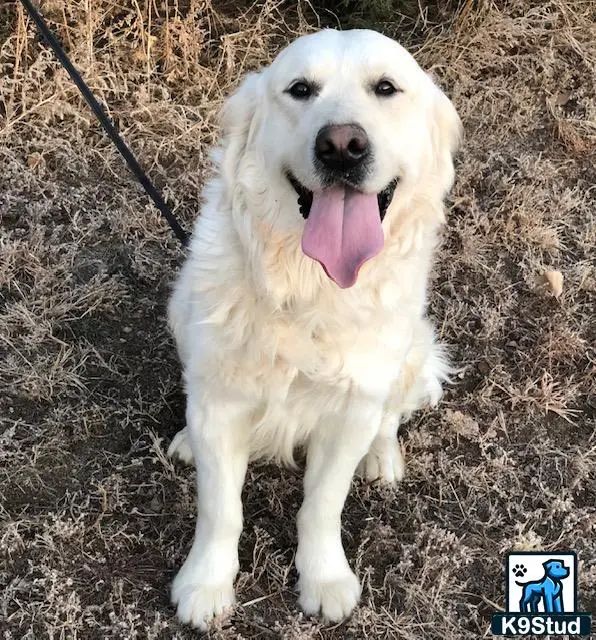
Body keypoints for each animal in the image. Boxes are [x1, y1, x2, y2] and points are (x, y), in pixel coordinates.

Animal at [166, 28, 460, 632]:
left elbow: (322, 505)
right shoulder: (221, 404)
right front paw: (205, 584)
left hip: (410, 351)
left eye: (386, 87)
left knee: (390, 416)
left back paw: (381, 457)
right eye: (300, 89)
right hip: (180, 312)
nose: (342, 146)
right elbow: (220, 509)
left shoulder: (350, 410)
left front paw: (324, 579)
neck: (310, 287)